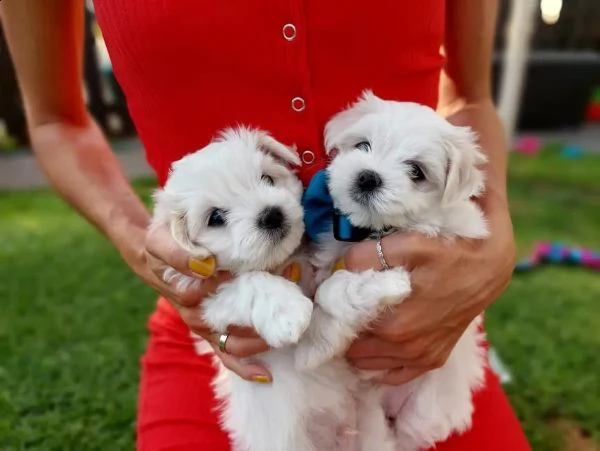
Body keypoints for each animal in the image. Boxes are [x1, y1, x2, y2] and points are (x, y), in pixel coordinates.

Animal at [152, 127, 360, 451]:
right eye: (215, 218)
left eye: (267, 179)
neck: (279, 262)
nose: (271, 214)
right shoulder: (208, 296)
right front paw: (289, 314)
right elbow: (247, 281)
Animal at [298, 92, 490, 451]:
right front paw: (321, 342)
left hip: (424, 410)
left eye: (416, 171)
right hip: (369, 406)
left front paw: (314, 347)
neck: (372, 230)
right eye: (363, 145)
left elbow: (336, 288)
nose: (367, 177)